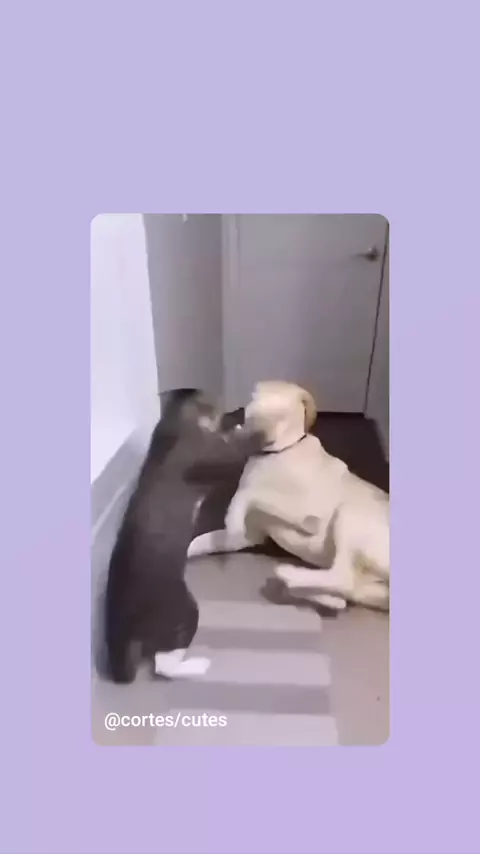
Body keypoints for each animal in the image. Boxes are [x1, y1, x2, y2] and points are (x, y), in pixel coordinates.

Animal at [104, 388, 266, 683]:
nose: (239, 410)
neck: (175, 424)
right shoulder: (219, 455)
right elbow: (239, 449)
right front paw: (256, 432)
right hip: (184, 611)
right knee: (164, 664)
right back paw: (199, 666)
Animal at [188, 381, 389, 611]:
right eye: (252, 400)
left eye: (279, 413)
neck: (281, 451)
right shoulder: (246, 537)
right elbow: (199, 541)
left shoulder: (310, 516)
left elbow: (250, 494)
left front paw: (233, 516)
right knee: (341, 598)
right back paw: (305, 590)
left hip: (349, 514)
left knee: (343, 578)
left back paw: (288, 575)